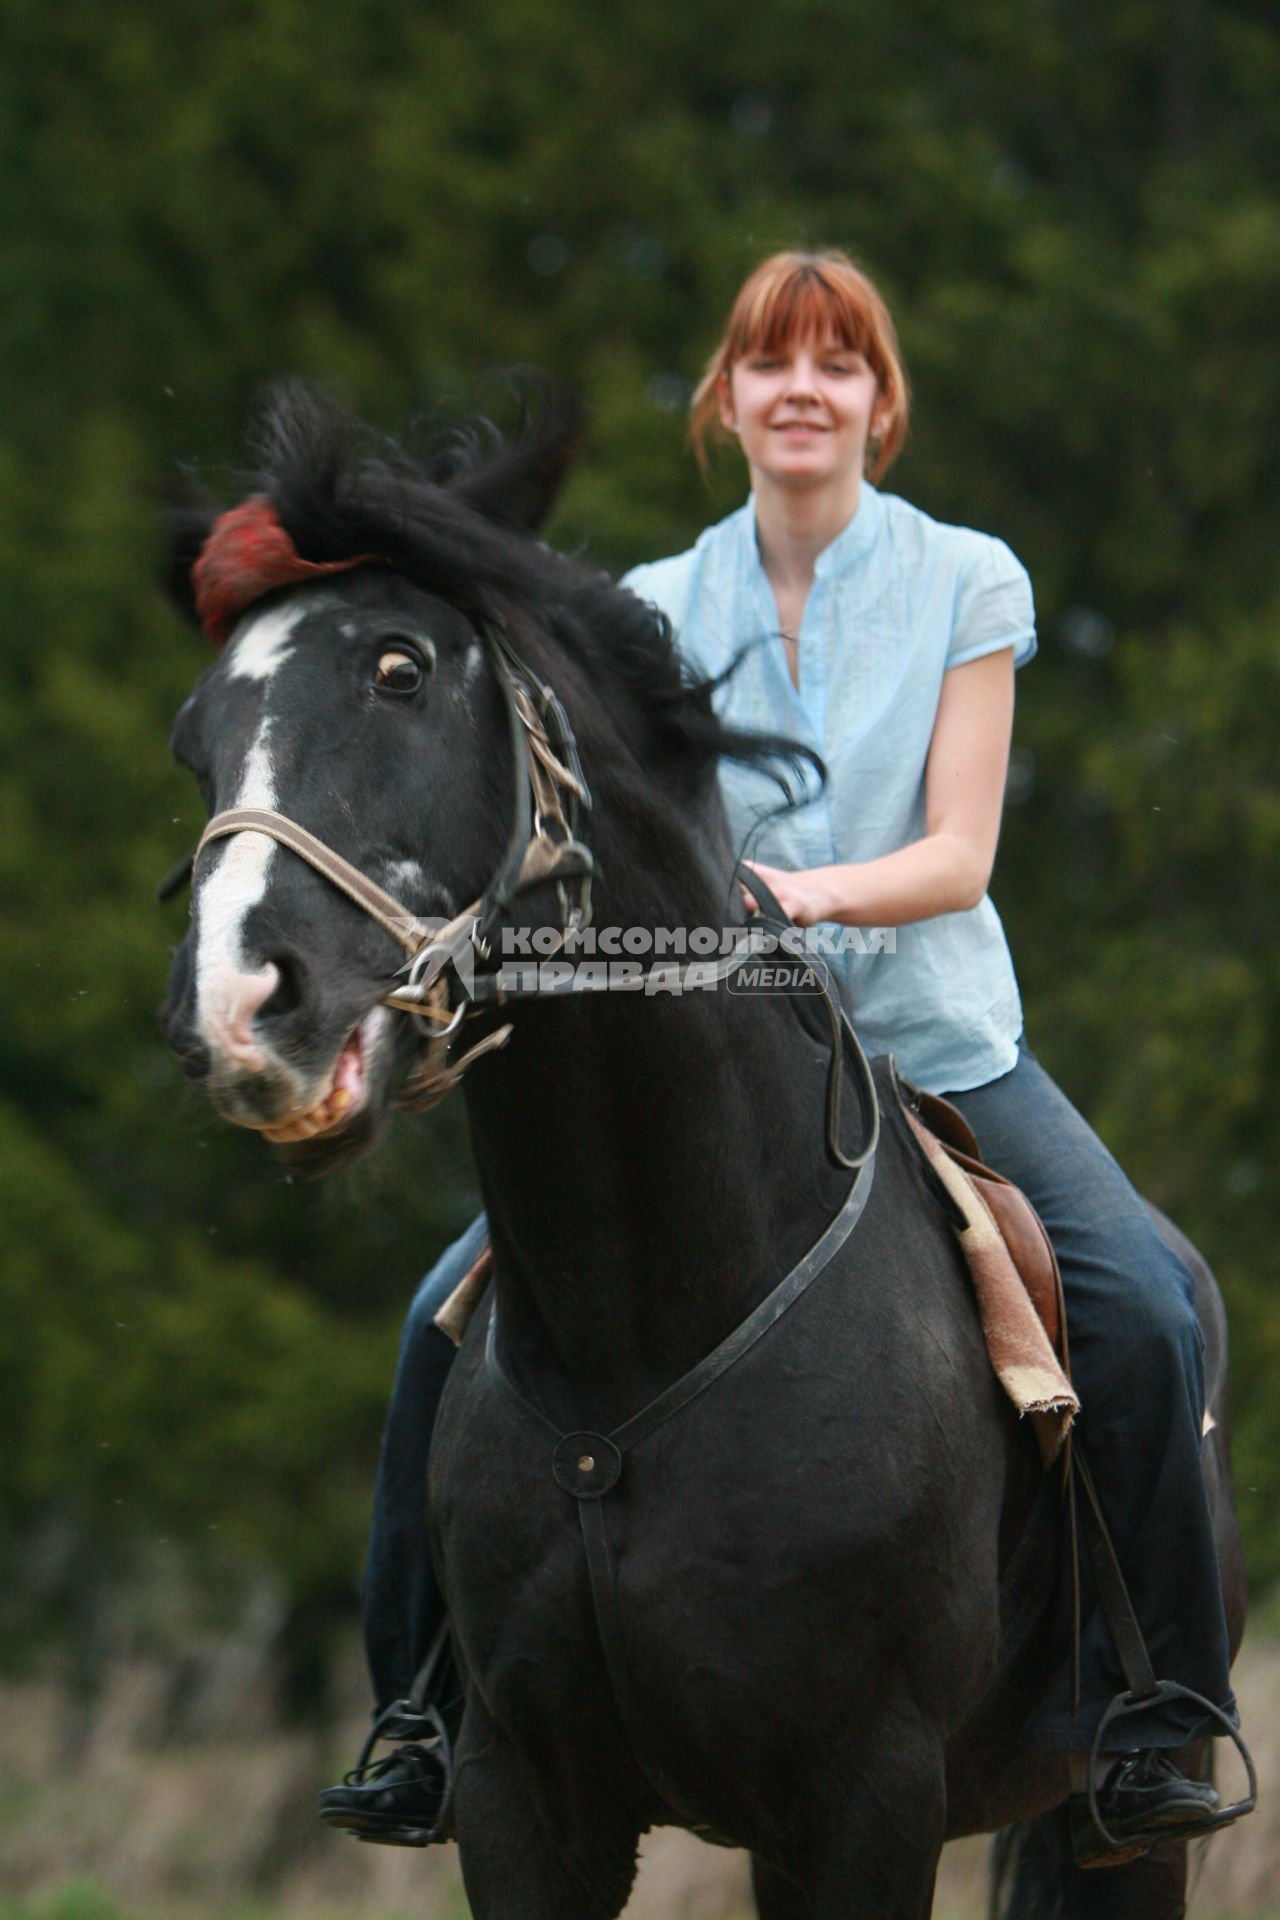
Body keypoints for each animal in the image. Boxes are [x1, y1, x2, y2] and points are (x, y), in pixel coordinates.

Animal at [155, 389, 1243, 1920]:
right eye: (197, 740)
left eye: (398, 670)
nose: (241, 1007)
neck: (647, 1325)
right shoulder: (523, 1804)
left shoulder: (864, 1800)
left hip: (1130, 1825)